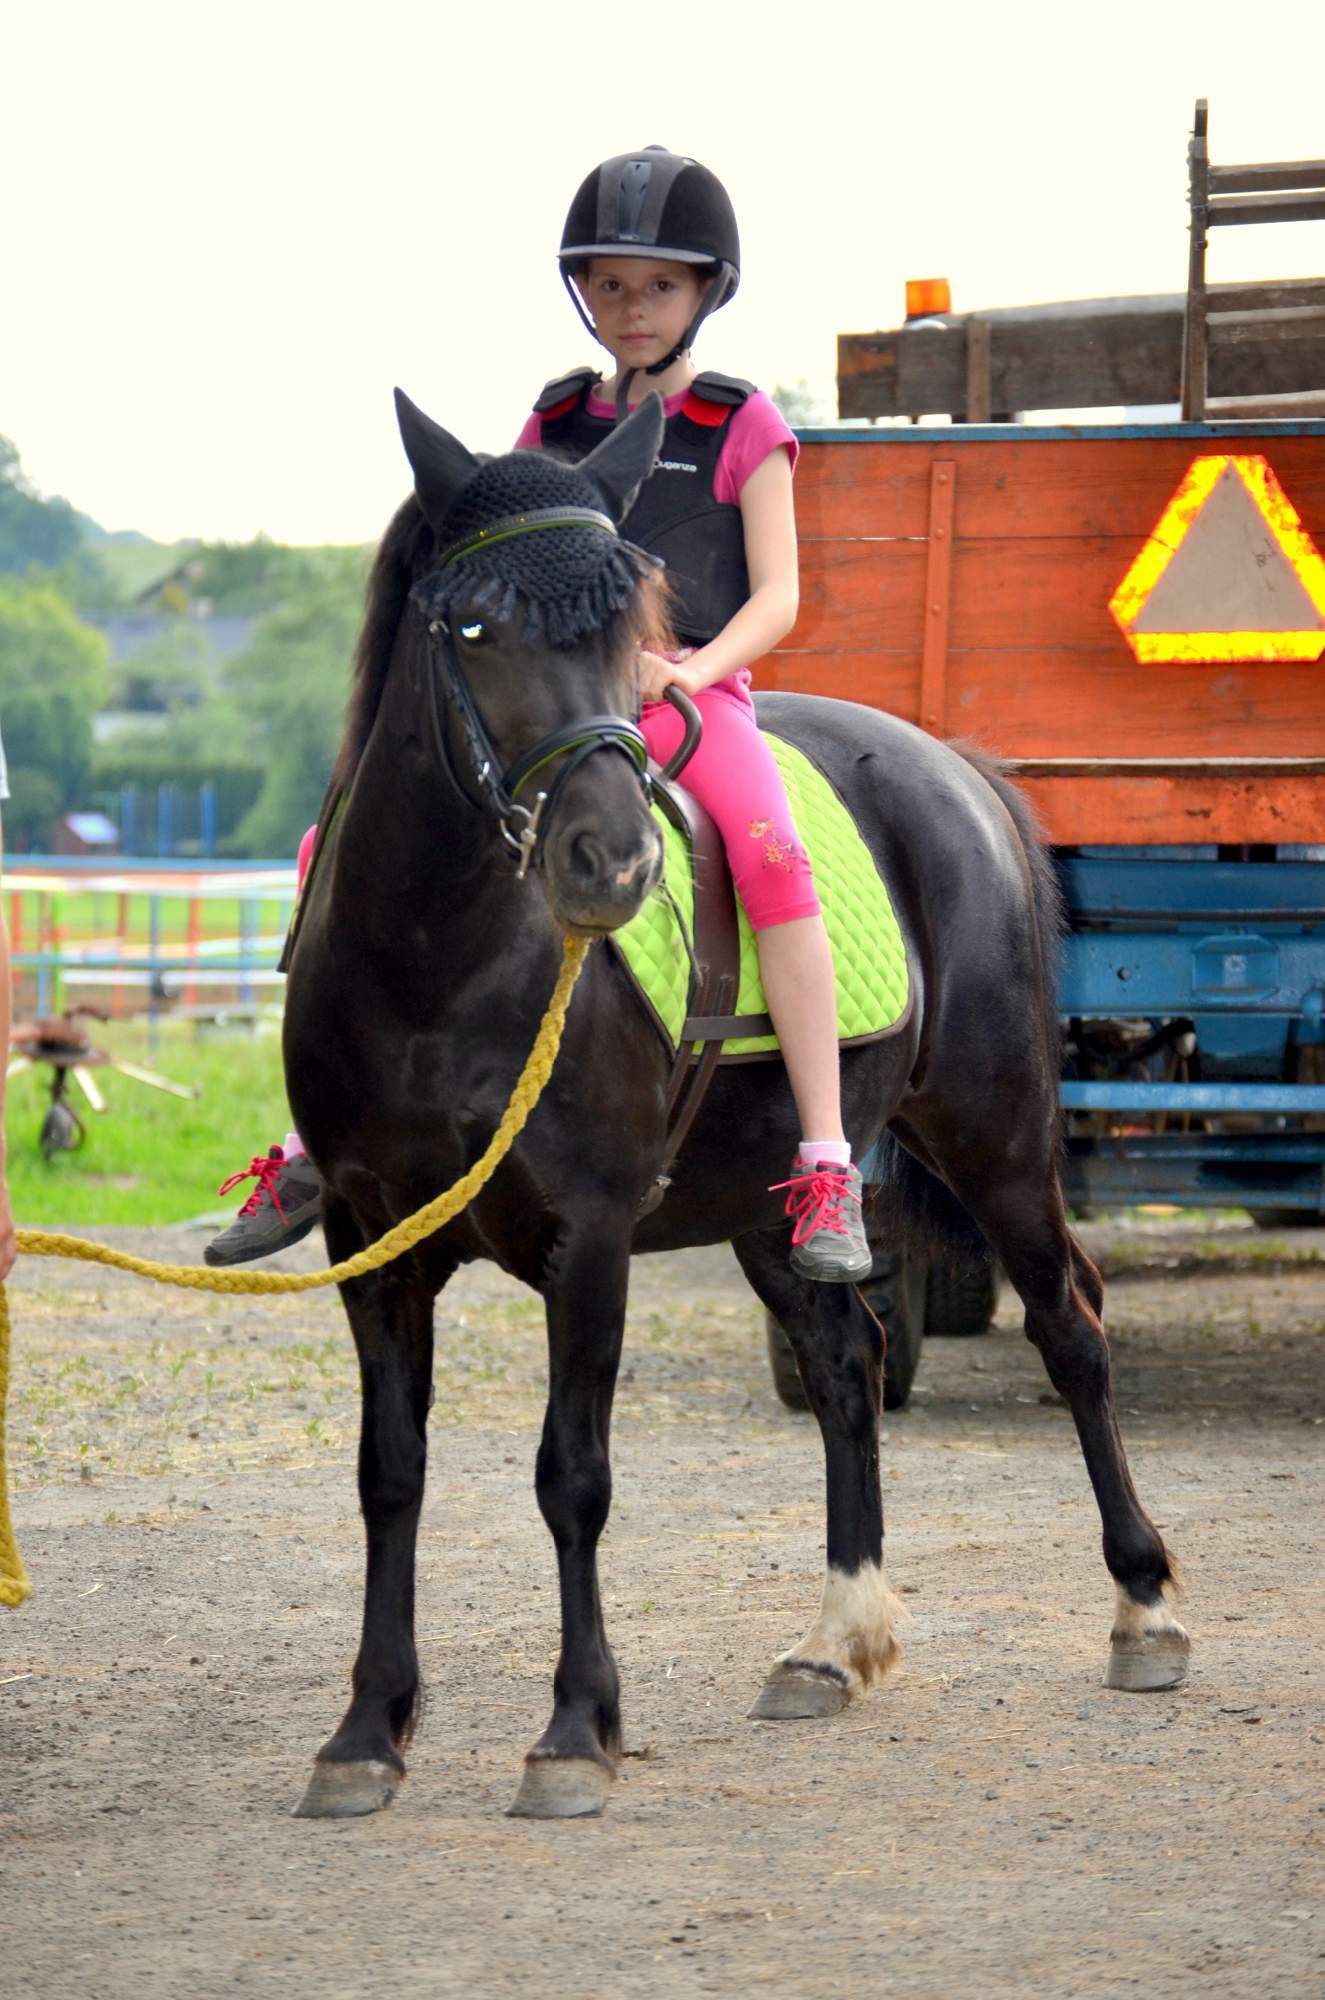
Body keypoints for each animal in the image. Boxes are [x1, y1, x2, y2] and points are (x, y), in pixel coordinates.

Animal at [281, 388, 1189, 1821]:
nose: (610, 861)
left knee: (1071, 1328)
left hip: (994, 1140)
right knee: (845, 1361)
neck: (434, 967)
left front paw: (574, 1731)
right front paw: (367, 1730)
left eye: (628, 626)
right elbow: (389, 1473)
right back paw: (832, 1642)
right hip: (771, 1205)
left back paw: (1142, 1605)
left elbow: (572, 1476)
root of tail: (956, 772)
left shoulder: (588, 1239)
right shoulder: (370, 1243)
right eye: (469, 626)